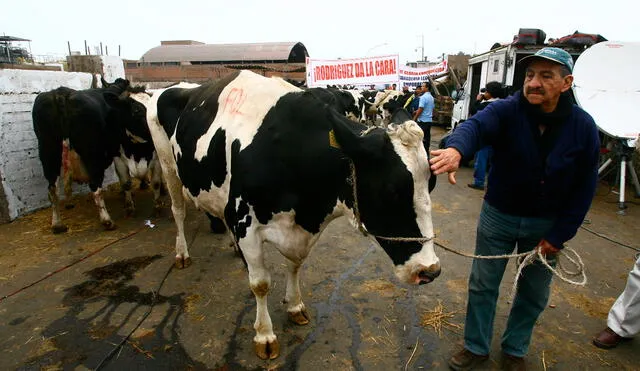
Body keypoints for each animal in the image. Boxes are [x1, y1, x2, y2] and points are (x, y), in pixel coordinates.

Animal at [32, 80, 162, 234]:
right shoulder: (118, 156)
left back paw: (57, 224)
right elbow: (127, 182)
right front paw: (131, 206)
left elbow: (155, 182)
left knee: (53, 188)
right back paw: (107, 220)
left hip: (48, 151)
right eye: (137, 111)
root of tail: (61, 93)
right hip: (91, 154)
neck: (136, 149)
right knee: (94, 186)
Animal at [130, 70, 440, 360]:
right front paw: (264, 335)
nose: (430, 270)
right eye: (392, 190)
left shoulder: (294, 227)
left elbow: (295, 265)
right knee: (178, 210)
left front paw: (295, 306)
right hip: (168, 164)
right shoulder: (246, 222)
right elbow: (260, 284)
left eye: (432, 183)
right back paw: (182, 253)